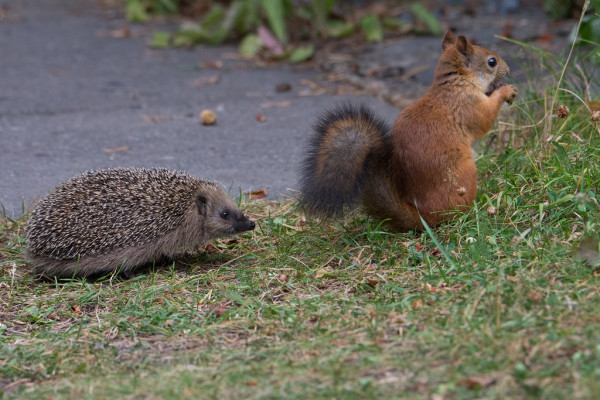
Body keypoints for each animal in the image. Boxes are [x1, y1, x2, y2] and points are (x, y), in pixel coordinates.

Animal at [298, 30, 516, 231]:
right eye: (492, 62)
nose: (508, 69)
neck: (456, 82)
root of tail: (425, 217)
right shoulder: (467, 105)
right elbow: (484, 120)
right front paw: (506, 91)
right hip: (465, 175)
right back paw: (477, 205)